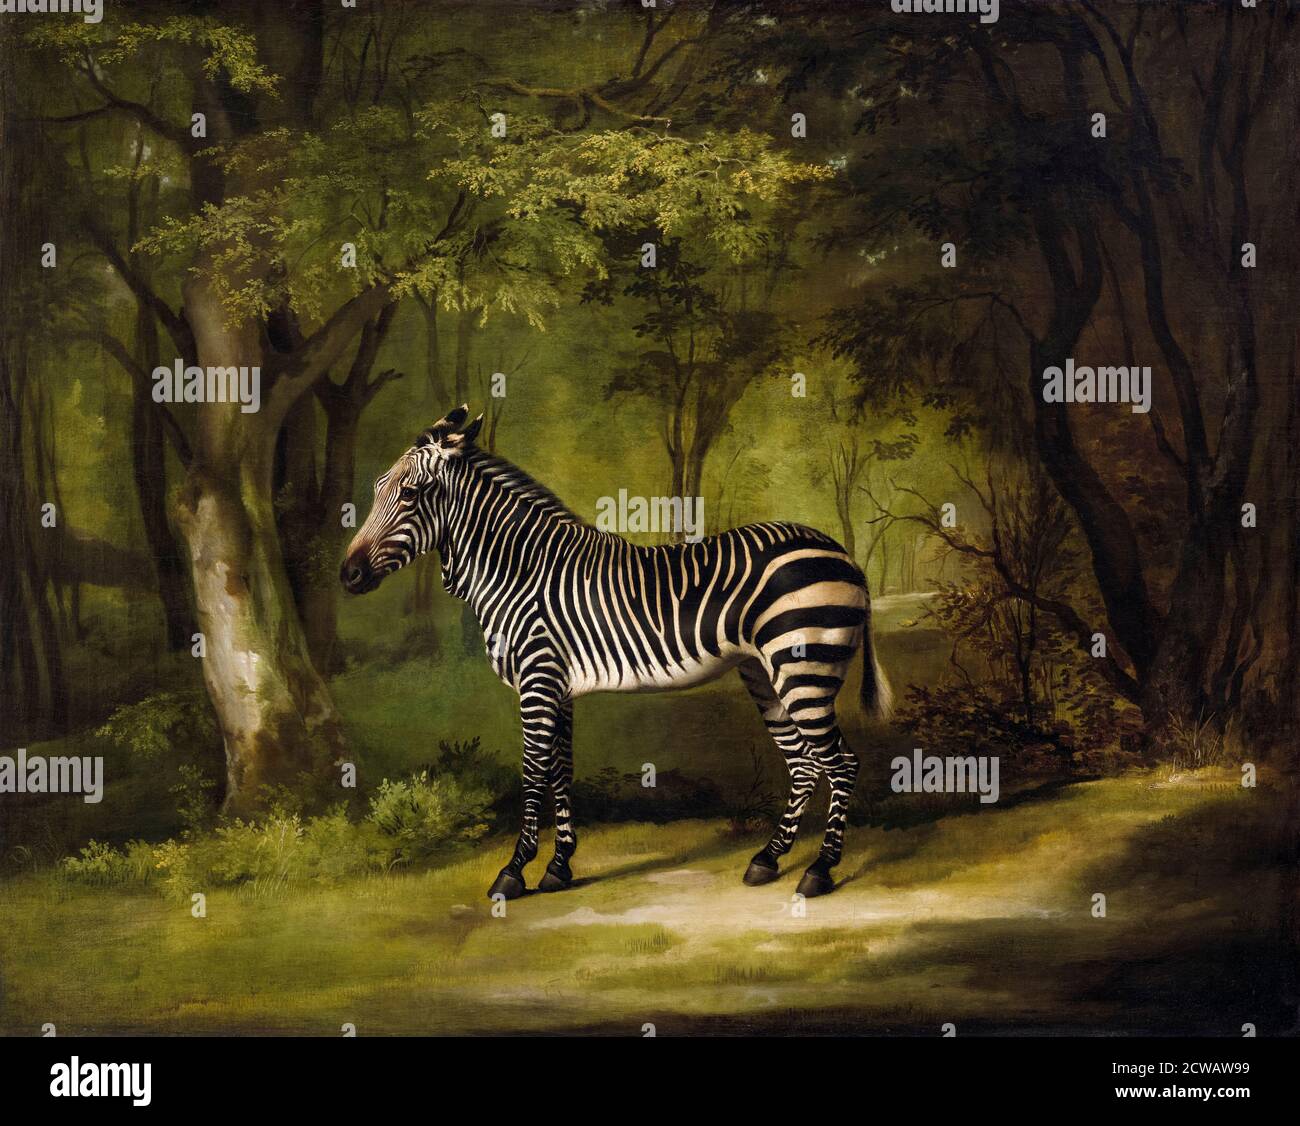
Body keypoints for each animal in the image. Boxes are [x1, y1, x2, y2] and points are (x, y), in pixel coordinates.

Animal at [341, 406, 892, 901]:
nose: (347, 575)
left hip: (803, 668)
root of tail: (843, 553)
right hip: (765, 673)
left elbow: (533, 775)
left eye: (410, 494)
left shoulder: (537, 681)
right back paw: (768, 859)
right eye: (377, 489)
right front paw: (559, 867)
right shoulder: (558, 687)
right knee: (804, 764)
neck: (518, 569)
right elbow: (560, 772)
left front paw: (513, 872)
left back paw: (819, 870)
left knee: (840, 763)